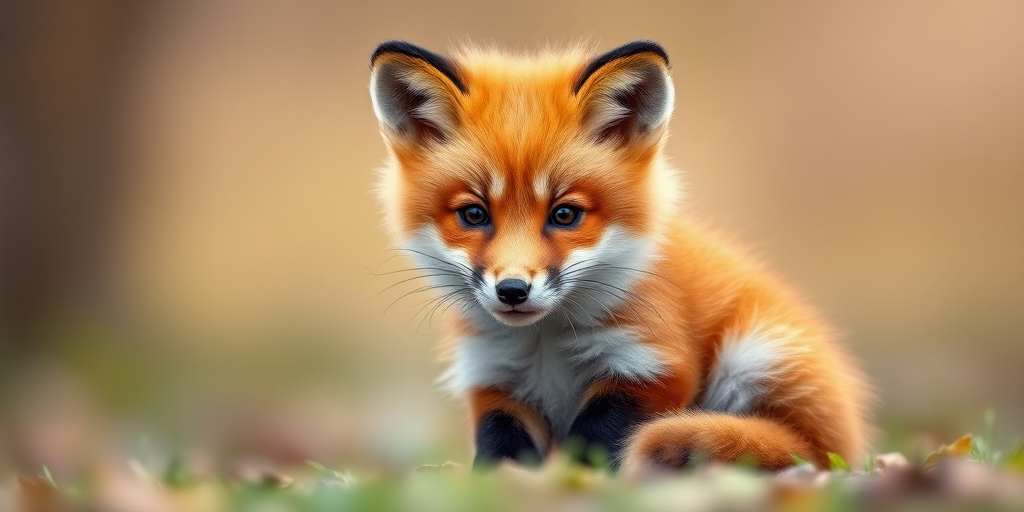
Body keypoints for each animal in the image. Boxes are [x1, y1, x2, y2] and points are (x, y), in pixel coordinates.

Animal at [367, 40, 870, 476]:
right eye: (474, 214)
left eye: (565, 214)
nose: (512, 290)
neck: (545, 346)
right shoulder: (494, 381)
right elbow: (500, 453)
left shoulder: (649, 366)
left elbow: (593, 446)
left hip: (756, 354)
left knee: (803, 451)